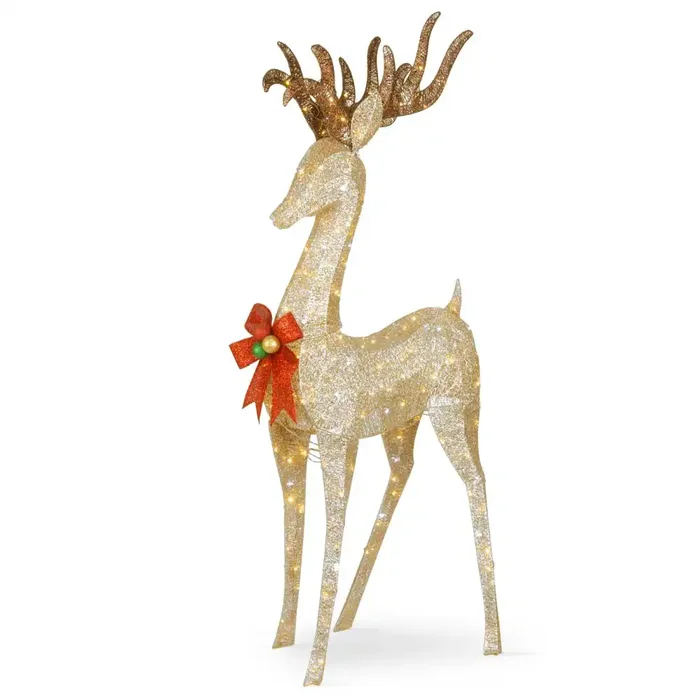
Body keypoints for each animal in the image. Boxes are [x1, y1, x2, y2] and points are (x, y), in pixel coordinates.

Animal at [241, 11, 501, 686]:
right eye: (300, 160)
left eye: (327, 167)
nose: (278, 214)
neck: (314, 336)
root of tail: (455, 312)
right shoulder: (287, 440)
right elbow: (294, 537)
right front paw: (282, 642)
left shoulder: (334, 441)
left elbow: (326, 540)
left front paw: (313, 673)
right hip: (401, 426)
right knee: (403, 476)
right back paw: (350, 618)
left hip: (458, 412)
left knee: (478, 485)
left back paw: (492, 643)